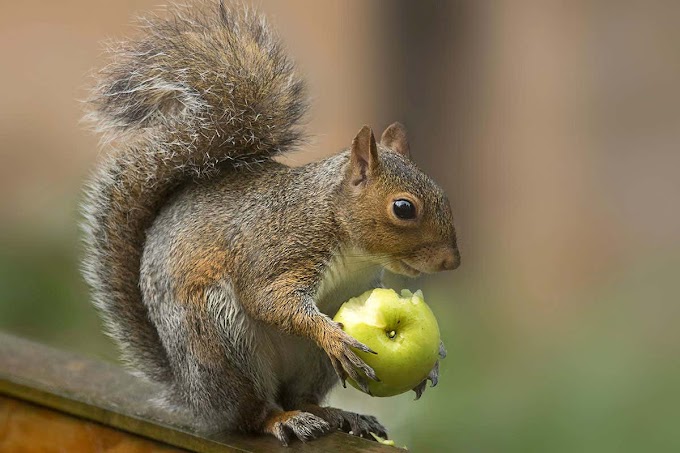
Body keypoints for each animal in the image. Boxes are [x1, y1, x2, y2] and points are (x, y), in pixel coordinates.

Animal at [81, 0, 462, 444]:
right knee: (252, 414)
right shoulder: (281, 248)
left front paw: (435, 359)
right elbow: (270, 299)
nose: (451, 262)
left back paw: (339, 415)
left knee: (300, 396)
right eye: (403, 208)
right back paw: (282, 419)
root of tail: (193, 397)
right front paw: (332, 335)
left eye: (443, 194)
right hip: (219, 341)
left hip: (310, 365)